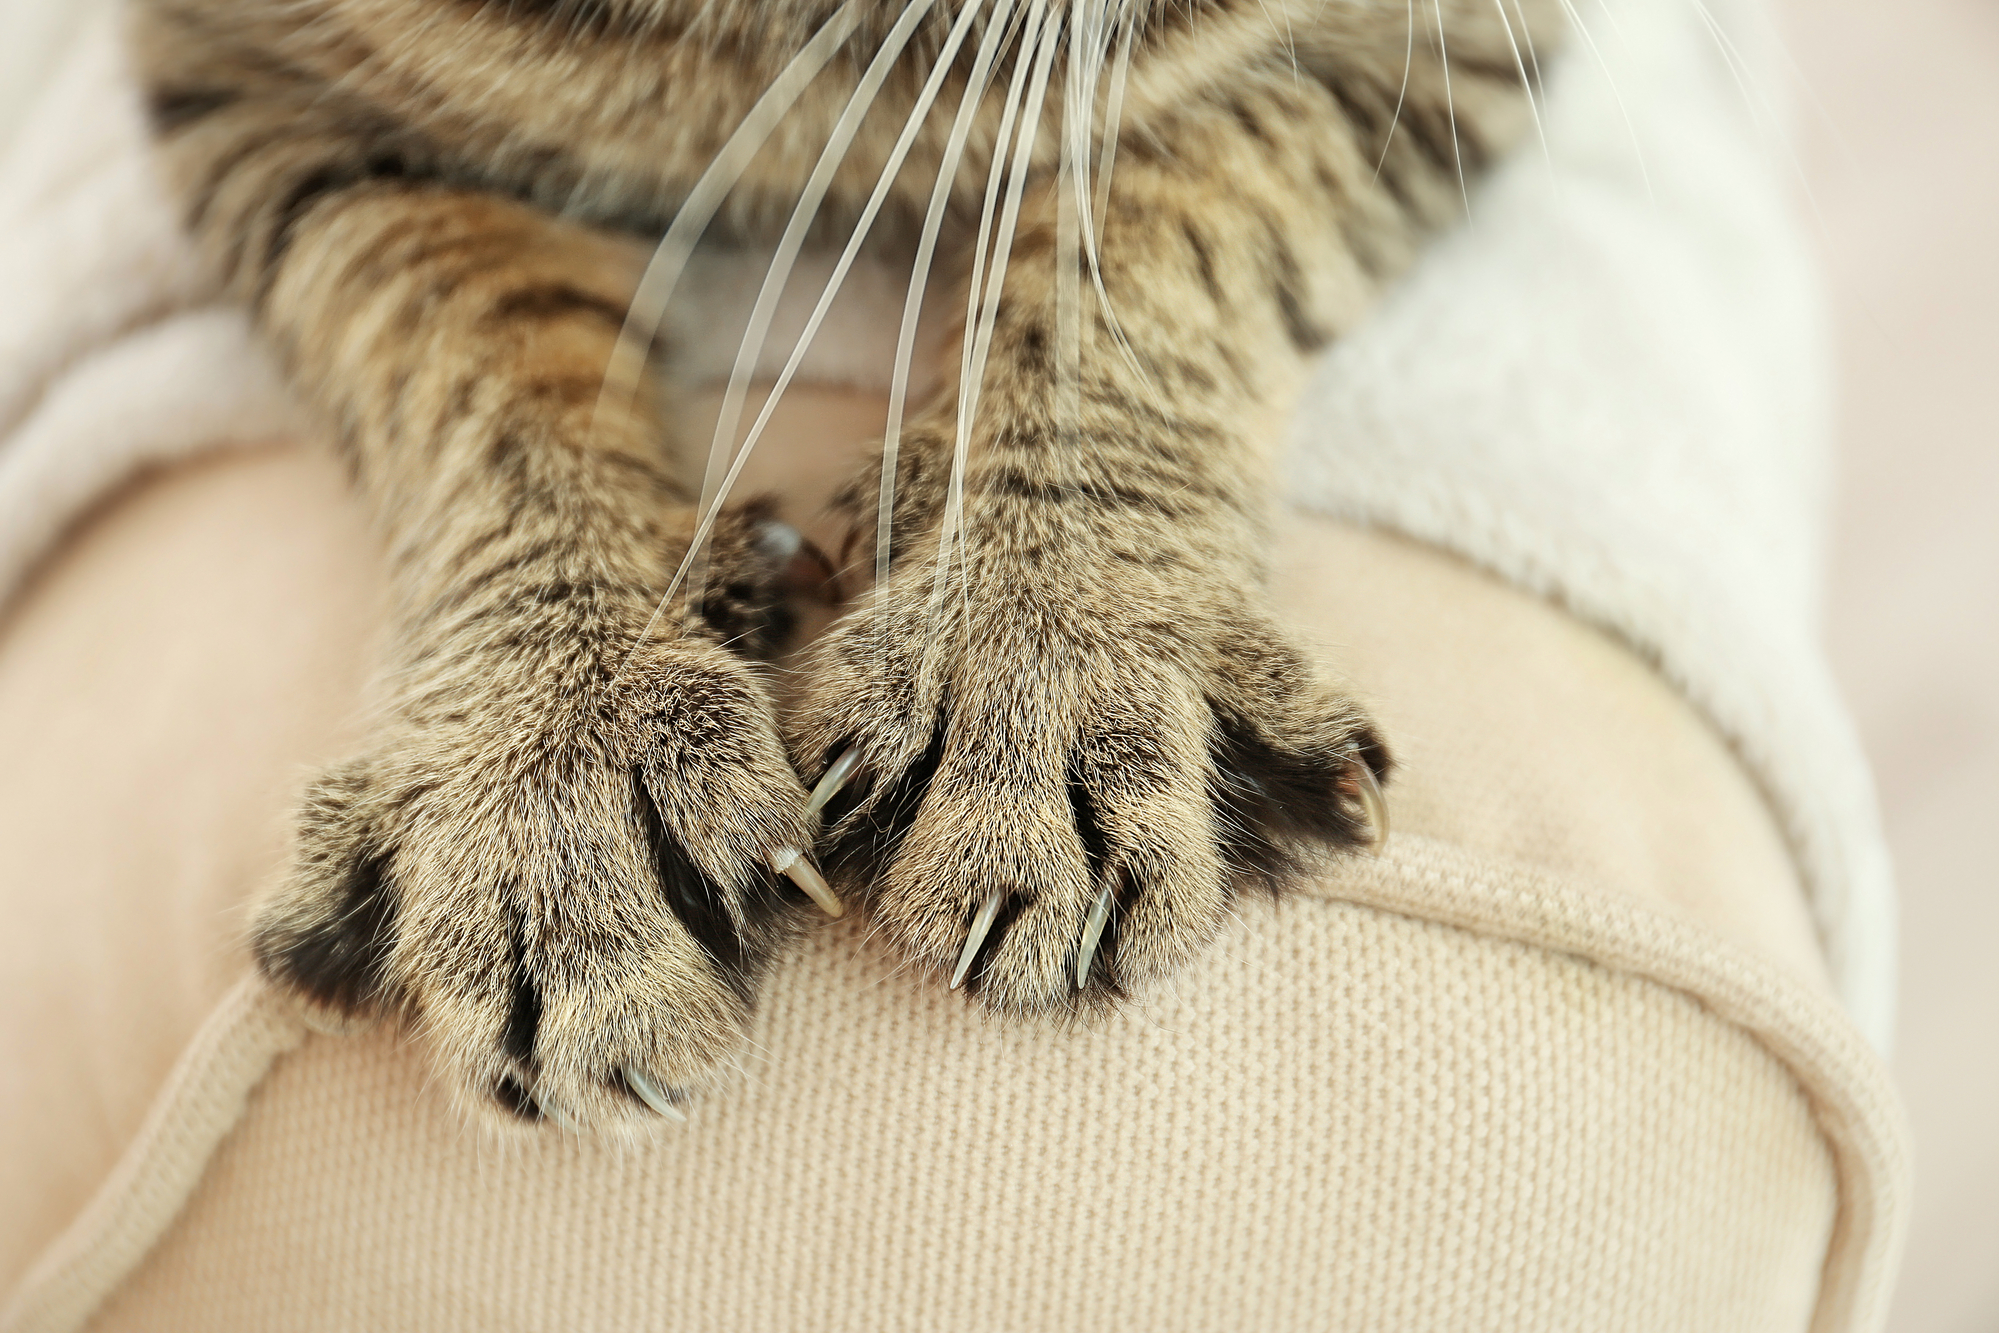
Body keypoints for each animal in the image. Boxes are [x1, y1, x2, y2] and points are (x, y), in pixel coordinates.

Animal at [124, 0, 1559, 1135]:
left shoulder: (1436, 42)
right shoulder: (246, 81)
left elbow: (1142, 224)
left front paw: (1046, 640)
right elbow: (462, 343)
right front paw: (551, 764)